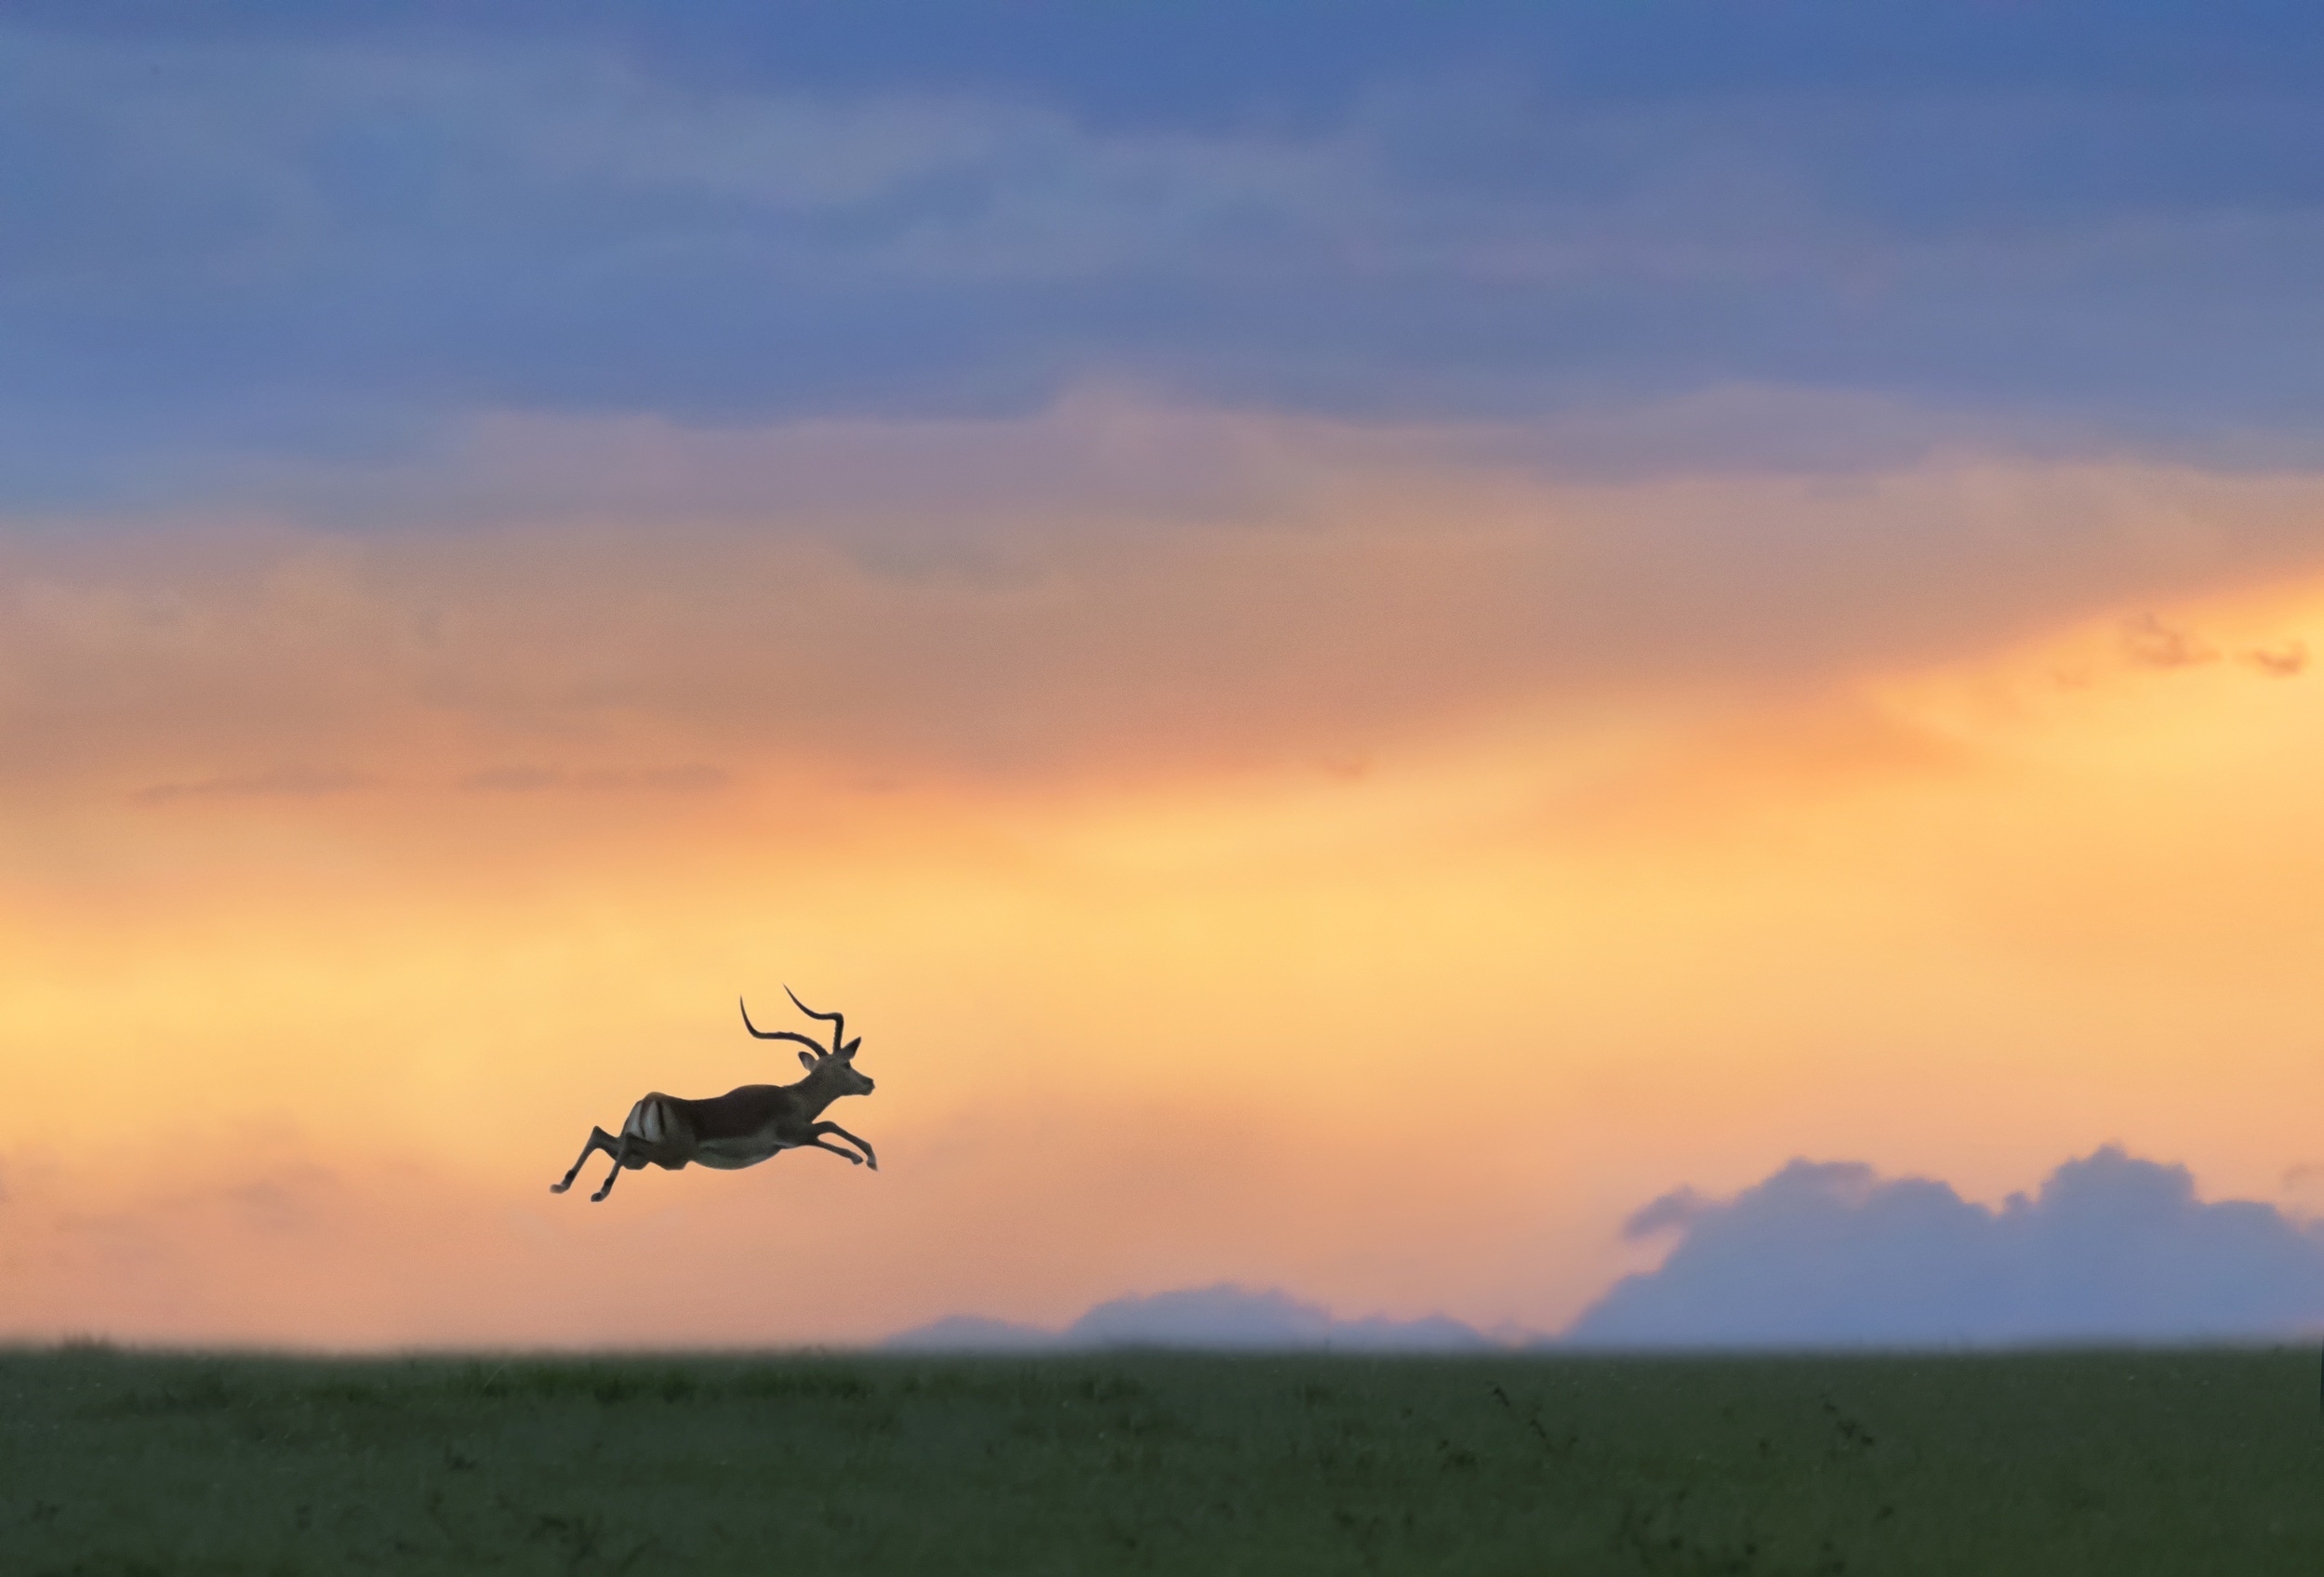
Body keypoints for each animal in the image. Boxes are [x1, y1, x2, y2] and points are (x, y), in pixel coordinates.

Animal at [550, 989, 878, 1203]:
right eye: (847, 1063)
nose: (869, 1082)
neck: (794, 1097)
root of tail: (649, 1101)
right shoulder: (794, 1134)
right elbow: (829, 1126)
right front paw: (867, 1158)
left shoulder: (795, 1139)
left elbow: (825, 1135)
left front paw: (859, 1158)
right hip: (669, 1156)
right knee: (622, 1140)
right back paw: (600, 1191)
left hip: (640, 1160)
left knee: (600, 1134)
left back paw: (563, 1184)